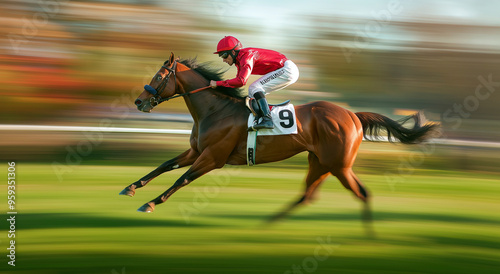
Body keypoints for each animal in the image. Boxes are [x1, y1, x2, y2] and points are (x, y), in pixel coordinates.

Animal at [120, 52, 438, 223]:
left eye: (160, 75)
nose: (139, 102)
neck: (215, 109)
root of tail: (352, 115)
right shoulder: (196, 152)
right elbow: (164, 166)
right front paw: (130, 188)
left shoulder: (212, 158)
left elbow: (181, 179)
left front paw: (150, 203)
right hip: (321, 162)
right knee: (310, 194)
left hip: (339, 164)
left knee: (357, 192)